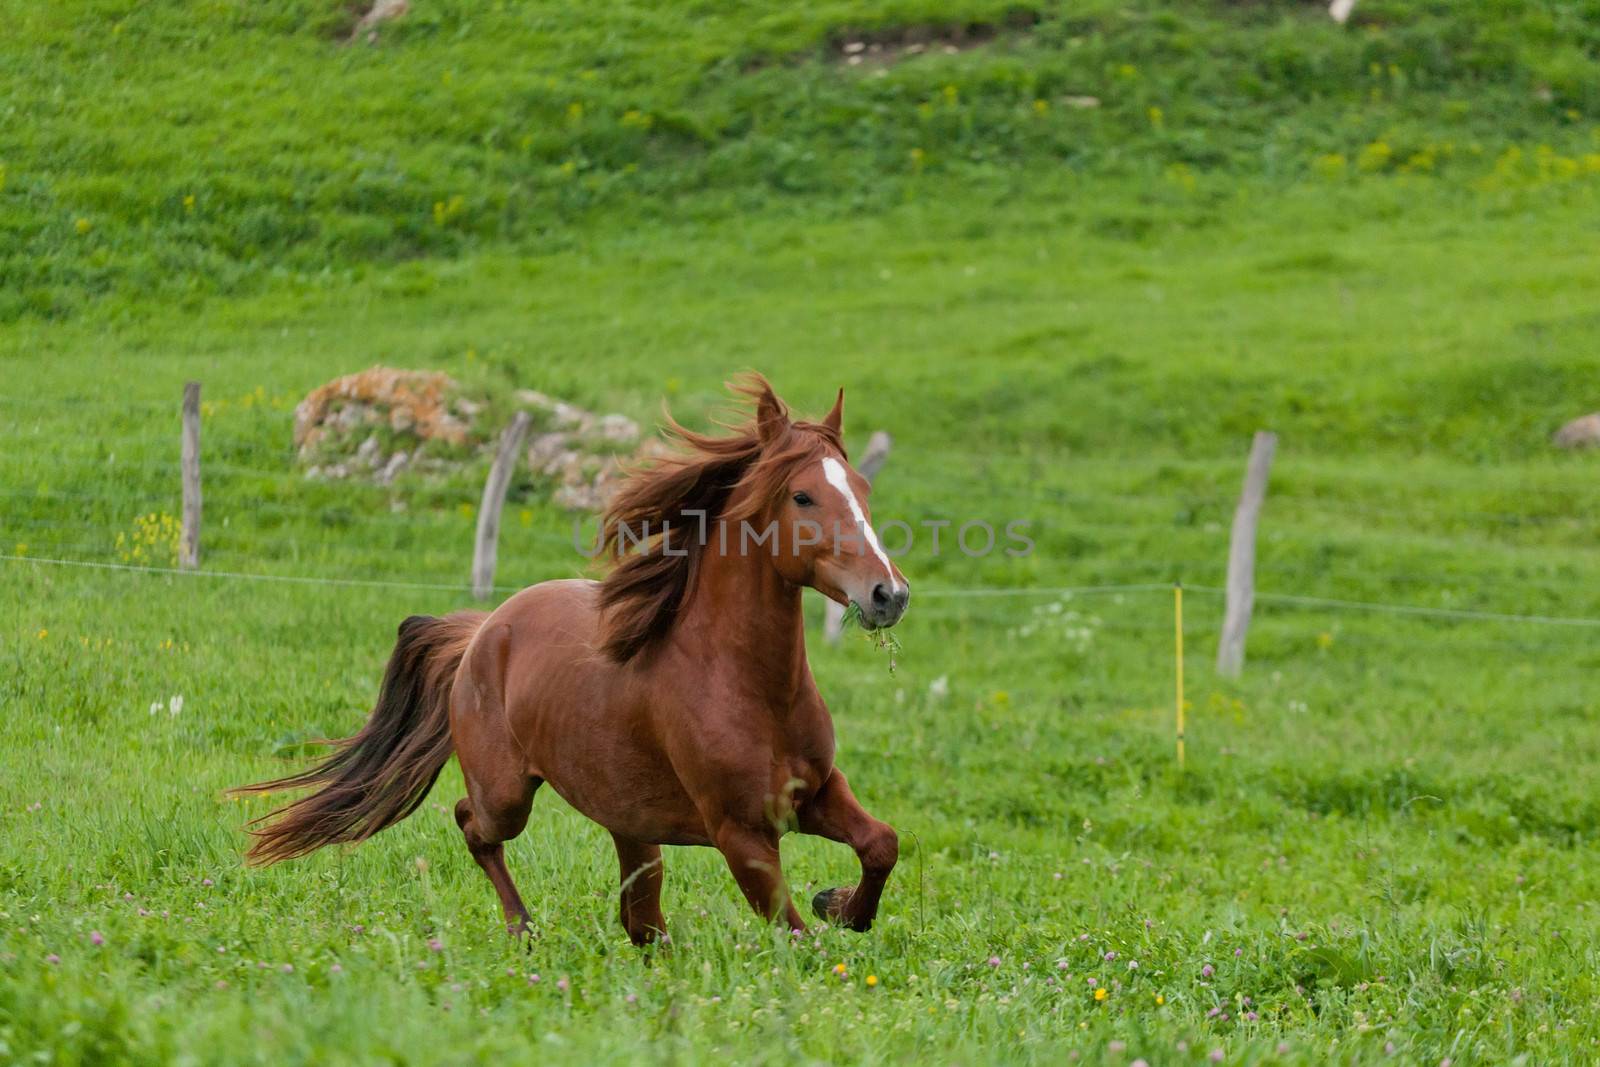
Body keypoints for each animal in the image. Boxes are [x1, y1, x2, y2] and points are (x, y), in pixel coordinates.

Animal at [235, 377, 915, 940]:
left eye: (862, 489)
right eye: (802, 497)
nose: (889, 594)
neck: (746, 686)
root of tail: (483, 631)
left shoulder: (818, 792)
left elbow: (882, 844)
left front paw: (840, 905)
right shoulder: (740, 833)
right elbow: (793, 935)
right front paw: (831, 916)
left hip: (629, 822)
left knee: (640, 919)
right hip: (507, 795)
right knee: (472, 823)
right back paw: (522, 929)